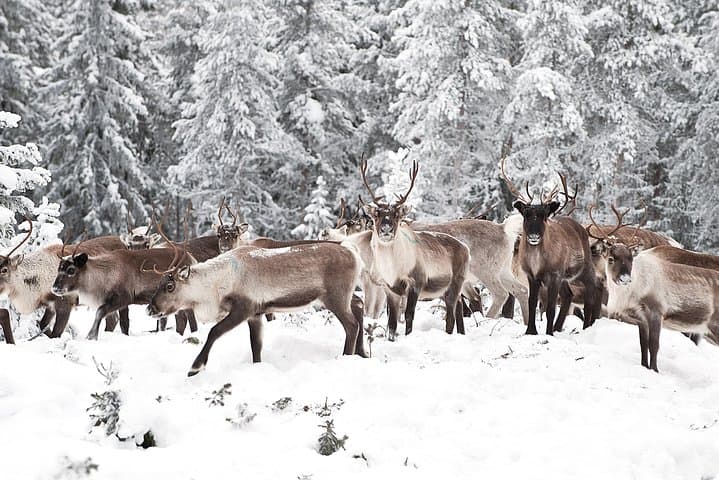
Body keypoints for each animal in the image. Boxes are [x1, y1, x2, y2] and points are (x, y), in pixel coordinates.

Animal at [146, 241, 367, 376]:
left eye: (170, 286)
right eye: (159, 283)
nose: (150, 308)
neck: (217, 285)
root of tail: (354, 254)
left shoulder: (244, 308)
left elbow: (214, 332)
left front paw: (195, 367)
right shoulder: (256, 314)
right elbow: (256, 345)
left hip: (335, 297)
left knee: (351, 324)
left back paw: (347, 357)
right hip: (341, 297)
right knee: (358, 306)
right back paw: (363, 353)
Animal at [358, 158, 471, 341]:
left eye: (397, 215)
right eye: (377, 214)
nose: (386, 229)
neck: (394, 269)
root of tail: (466, 248)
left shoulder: (416, 283)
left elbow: (409, 315)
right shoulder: (390, 289)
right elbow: (391, 322)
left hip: (456, 282)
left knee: (451, 316)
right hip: (446, 290)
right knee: (460, 308)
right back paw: (461, 334)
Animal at [501, 159, 601, 335]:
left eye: (544, 215)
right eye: (526, 215)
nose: (534, 236)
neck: (538, 262)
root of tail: (581, 227)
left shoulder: (554, 275)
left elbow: (550, 308)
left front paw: (548, 333)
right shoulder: (532, 276)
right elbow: (532, 304)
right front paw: (531, 331)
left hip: (583, 268)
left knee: (592, 289)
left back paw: (586, 327)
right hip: (565, 278)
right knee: (568, 295)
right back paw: (558, 327)